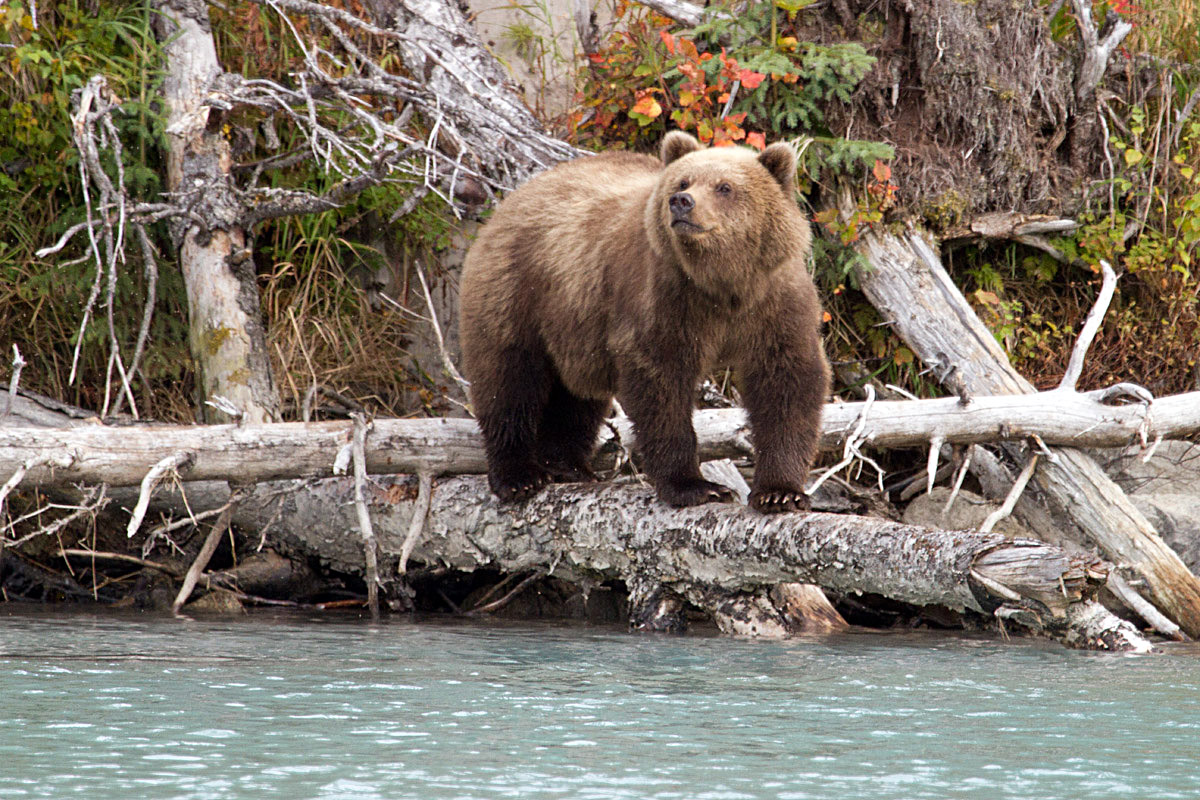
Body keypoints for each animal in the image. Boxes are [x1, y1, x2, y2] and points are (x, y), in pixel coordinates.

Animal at [458, 130, 830, 513]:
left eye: (725, 187)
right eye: (683, 181)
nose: (681, 202)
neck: (722, 286)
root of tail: (511, 199)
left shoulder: (774, 303)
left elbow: (786, 384)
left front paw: (780, 491)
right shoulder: (665, 299)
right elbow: (660, 385)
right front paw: (695, 485)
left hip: (576, 324)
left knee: (576, 396)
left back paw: (568, 465)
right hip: (518, 290)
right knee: (509, 379)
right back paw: (519, 476)